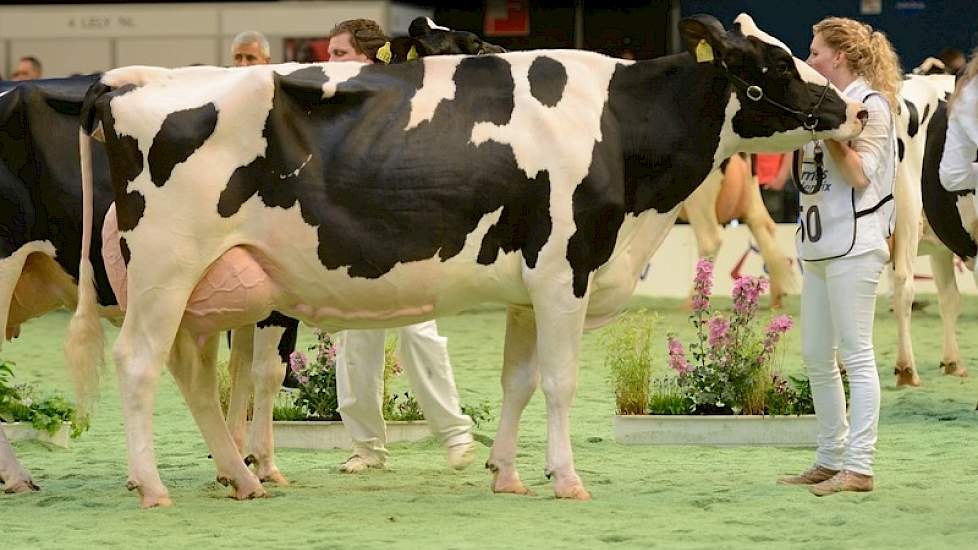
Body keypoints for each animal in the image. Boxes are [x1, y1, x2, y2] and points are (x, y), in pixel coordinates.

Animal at [70, 12, 860, 512]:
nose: (849, 111)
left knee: (192, 376)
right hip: (166, 268)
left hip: (201, 286)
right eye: (772, 64)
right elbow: (561, 383)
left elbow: (516, 382)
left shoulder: (525, 289)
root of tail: (133, 81)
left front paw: (506, 474)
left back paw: (242, 478)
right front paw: (565, 478)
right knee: (139, 365)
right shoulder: (565, 272)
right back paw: (154, 487)